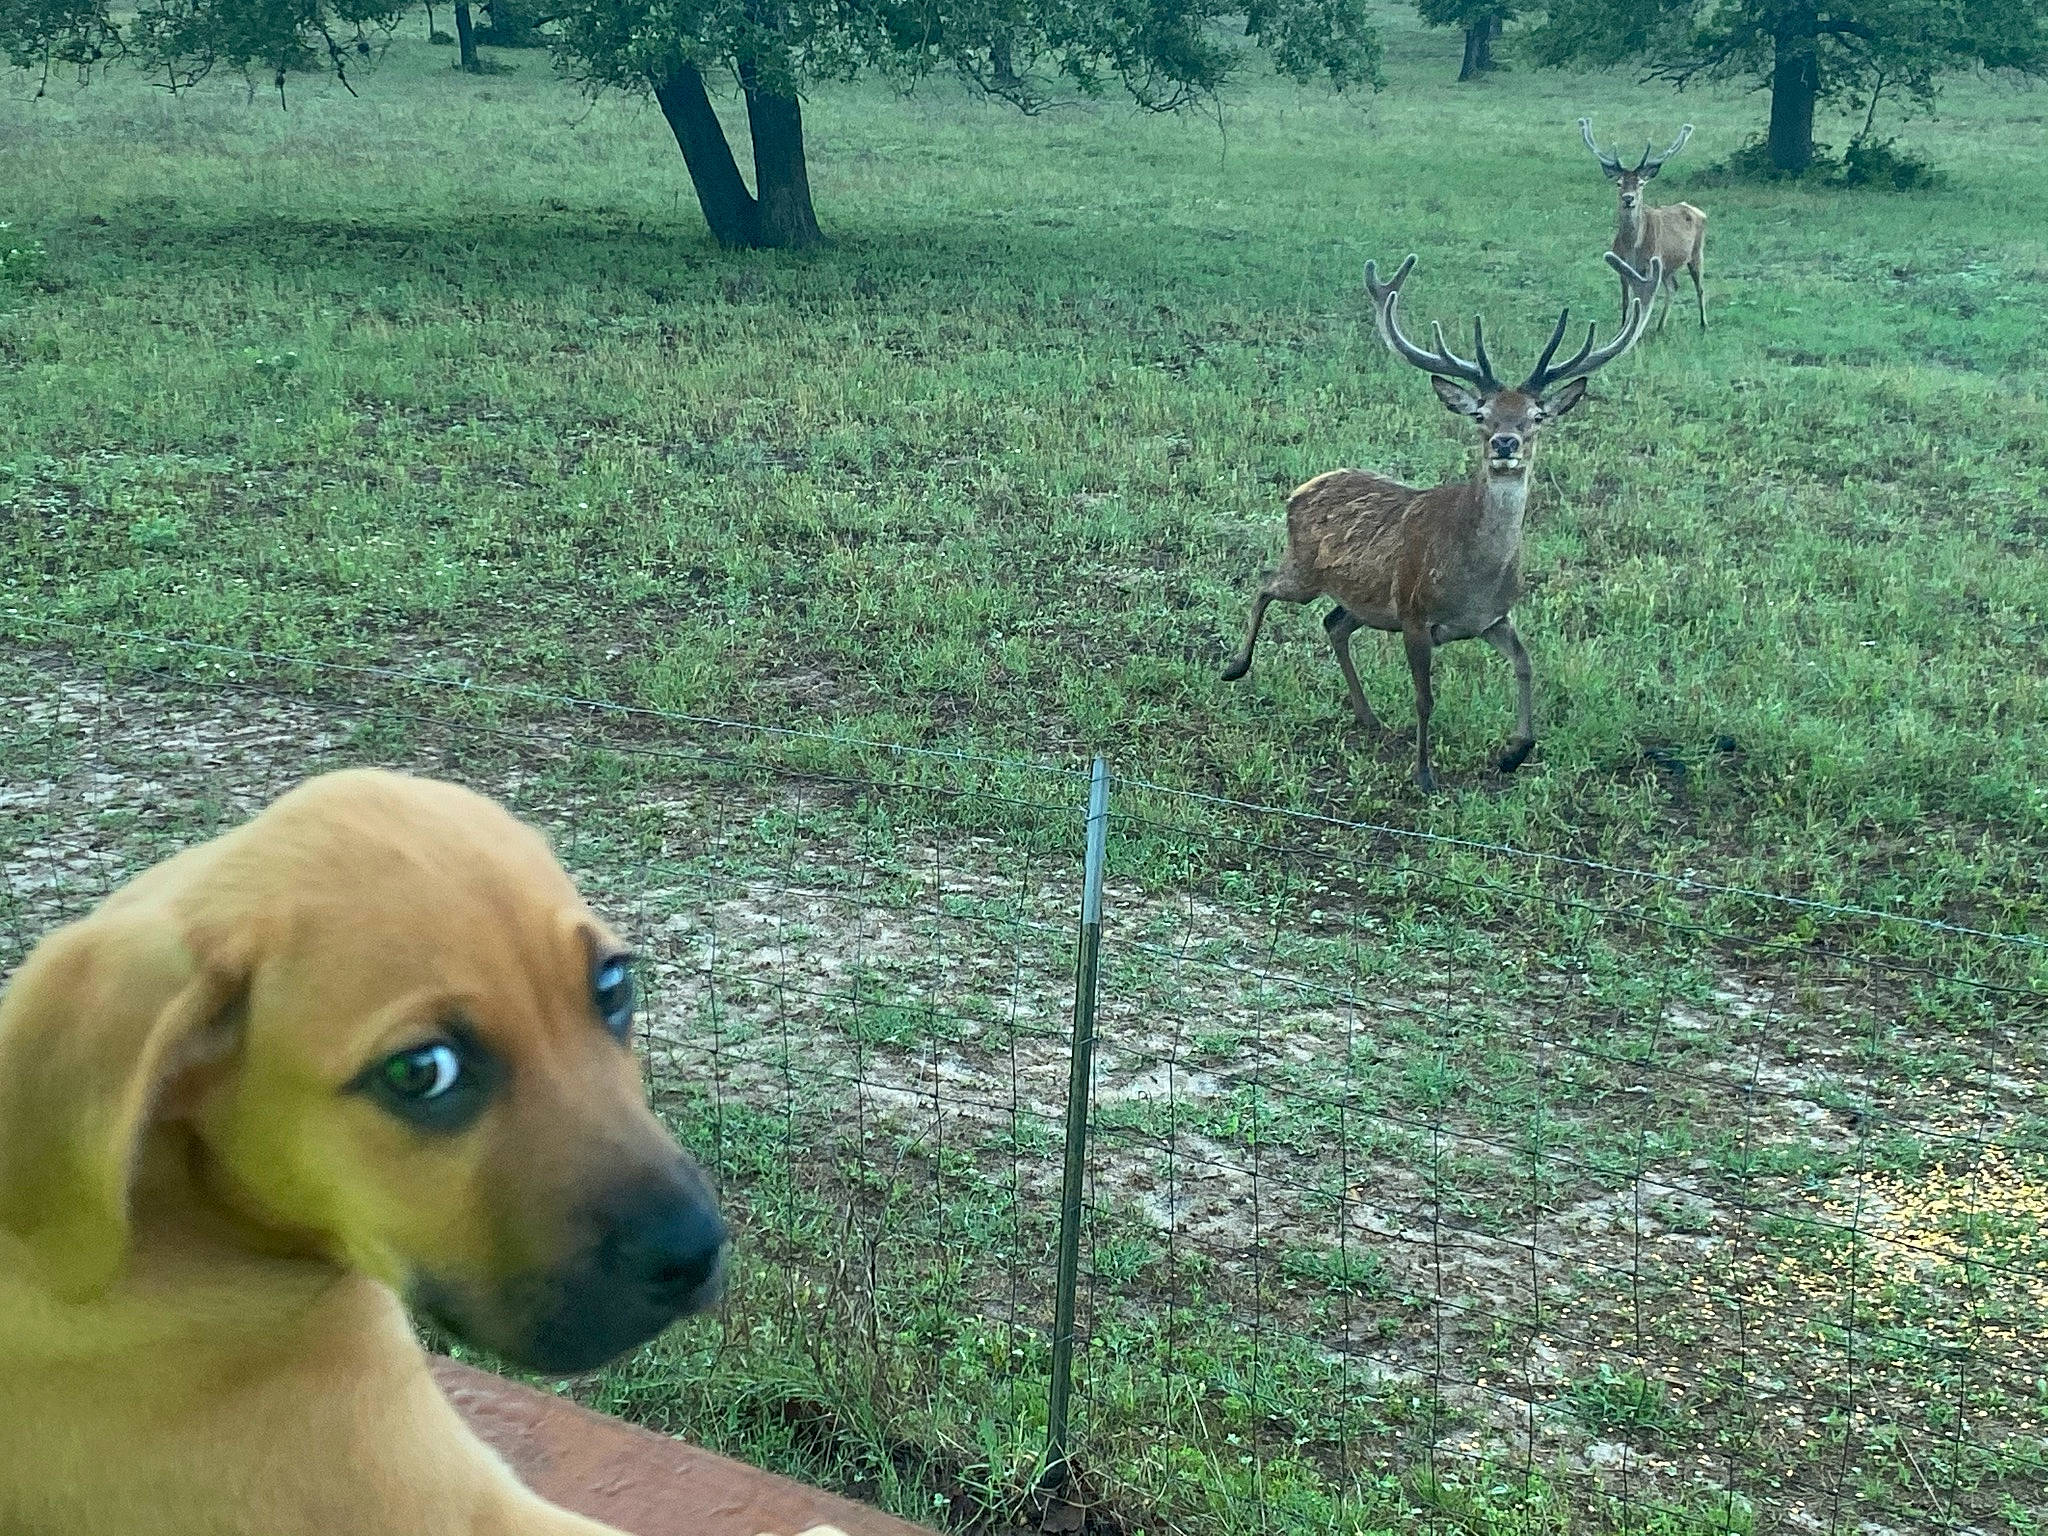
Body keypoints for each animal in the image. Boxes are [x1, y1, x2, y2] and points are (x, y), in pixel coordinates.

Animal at [1221, 250, 1660, 793]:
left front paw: (1514, 753)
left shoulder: (1492, 618)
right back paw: (1236, 666)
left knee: (1334, 622)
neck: (1474, 578)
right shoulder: (1414, 614)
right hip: (1307, 572)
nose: (1506, 443)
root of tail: (1301, 489)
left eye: (1537, 415)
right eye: (1480, 414)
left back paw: (1368, 717)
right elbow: (1425, 698)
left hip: (1368, 603)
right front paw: (1425, 774)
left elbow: (1527, 665)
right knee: (1265, 585)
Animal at [1580, 118, 1706, 332]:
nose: (1628, 198)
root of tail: (1696, 209)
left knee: (1700, 287)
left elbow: (1640, 300)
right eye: (1619, 183)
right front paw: (1623, 324)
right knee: (1673, 286)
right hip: (1667, 267)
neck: (1633, 247)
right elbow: (1625, 300)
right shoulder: (1623, 266)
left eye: (1640, 183)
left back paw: (1703, 324)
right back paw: (1660, 327)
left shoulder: (1647, 266)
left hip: (1697, 252)